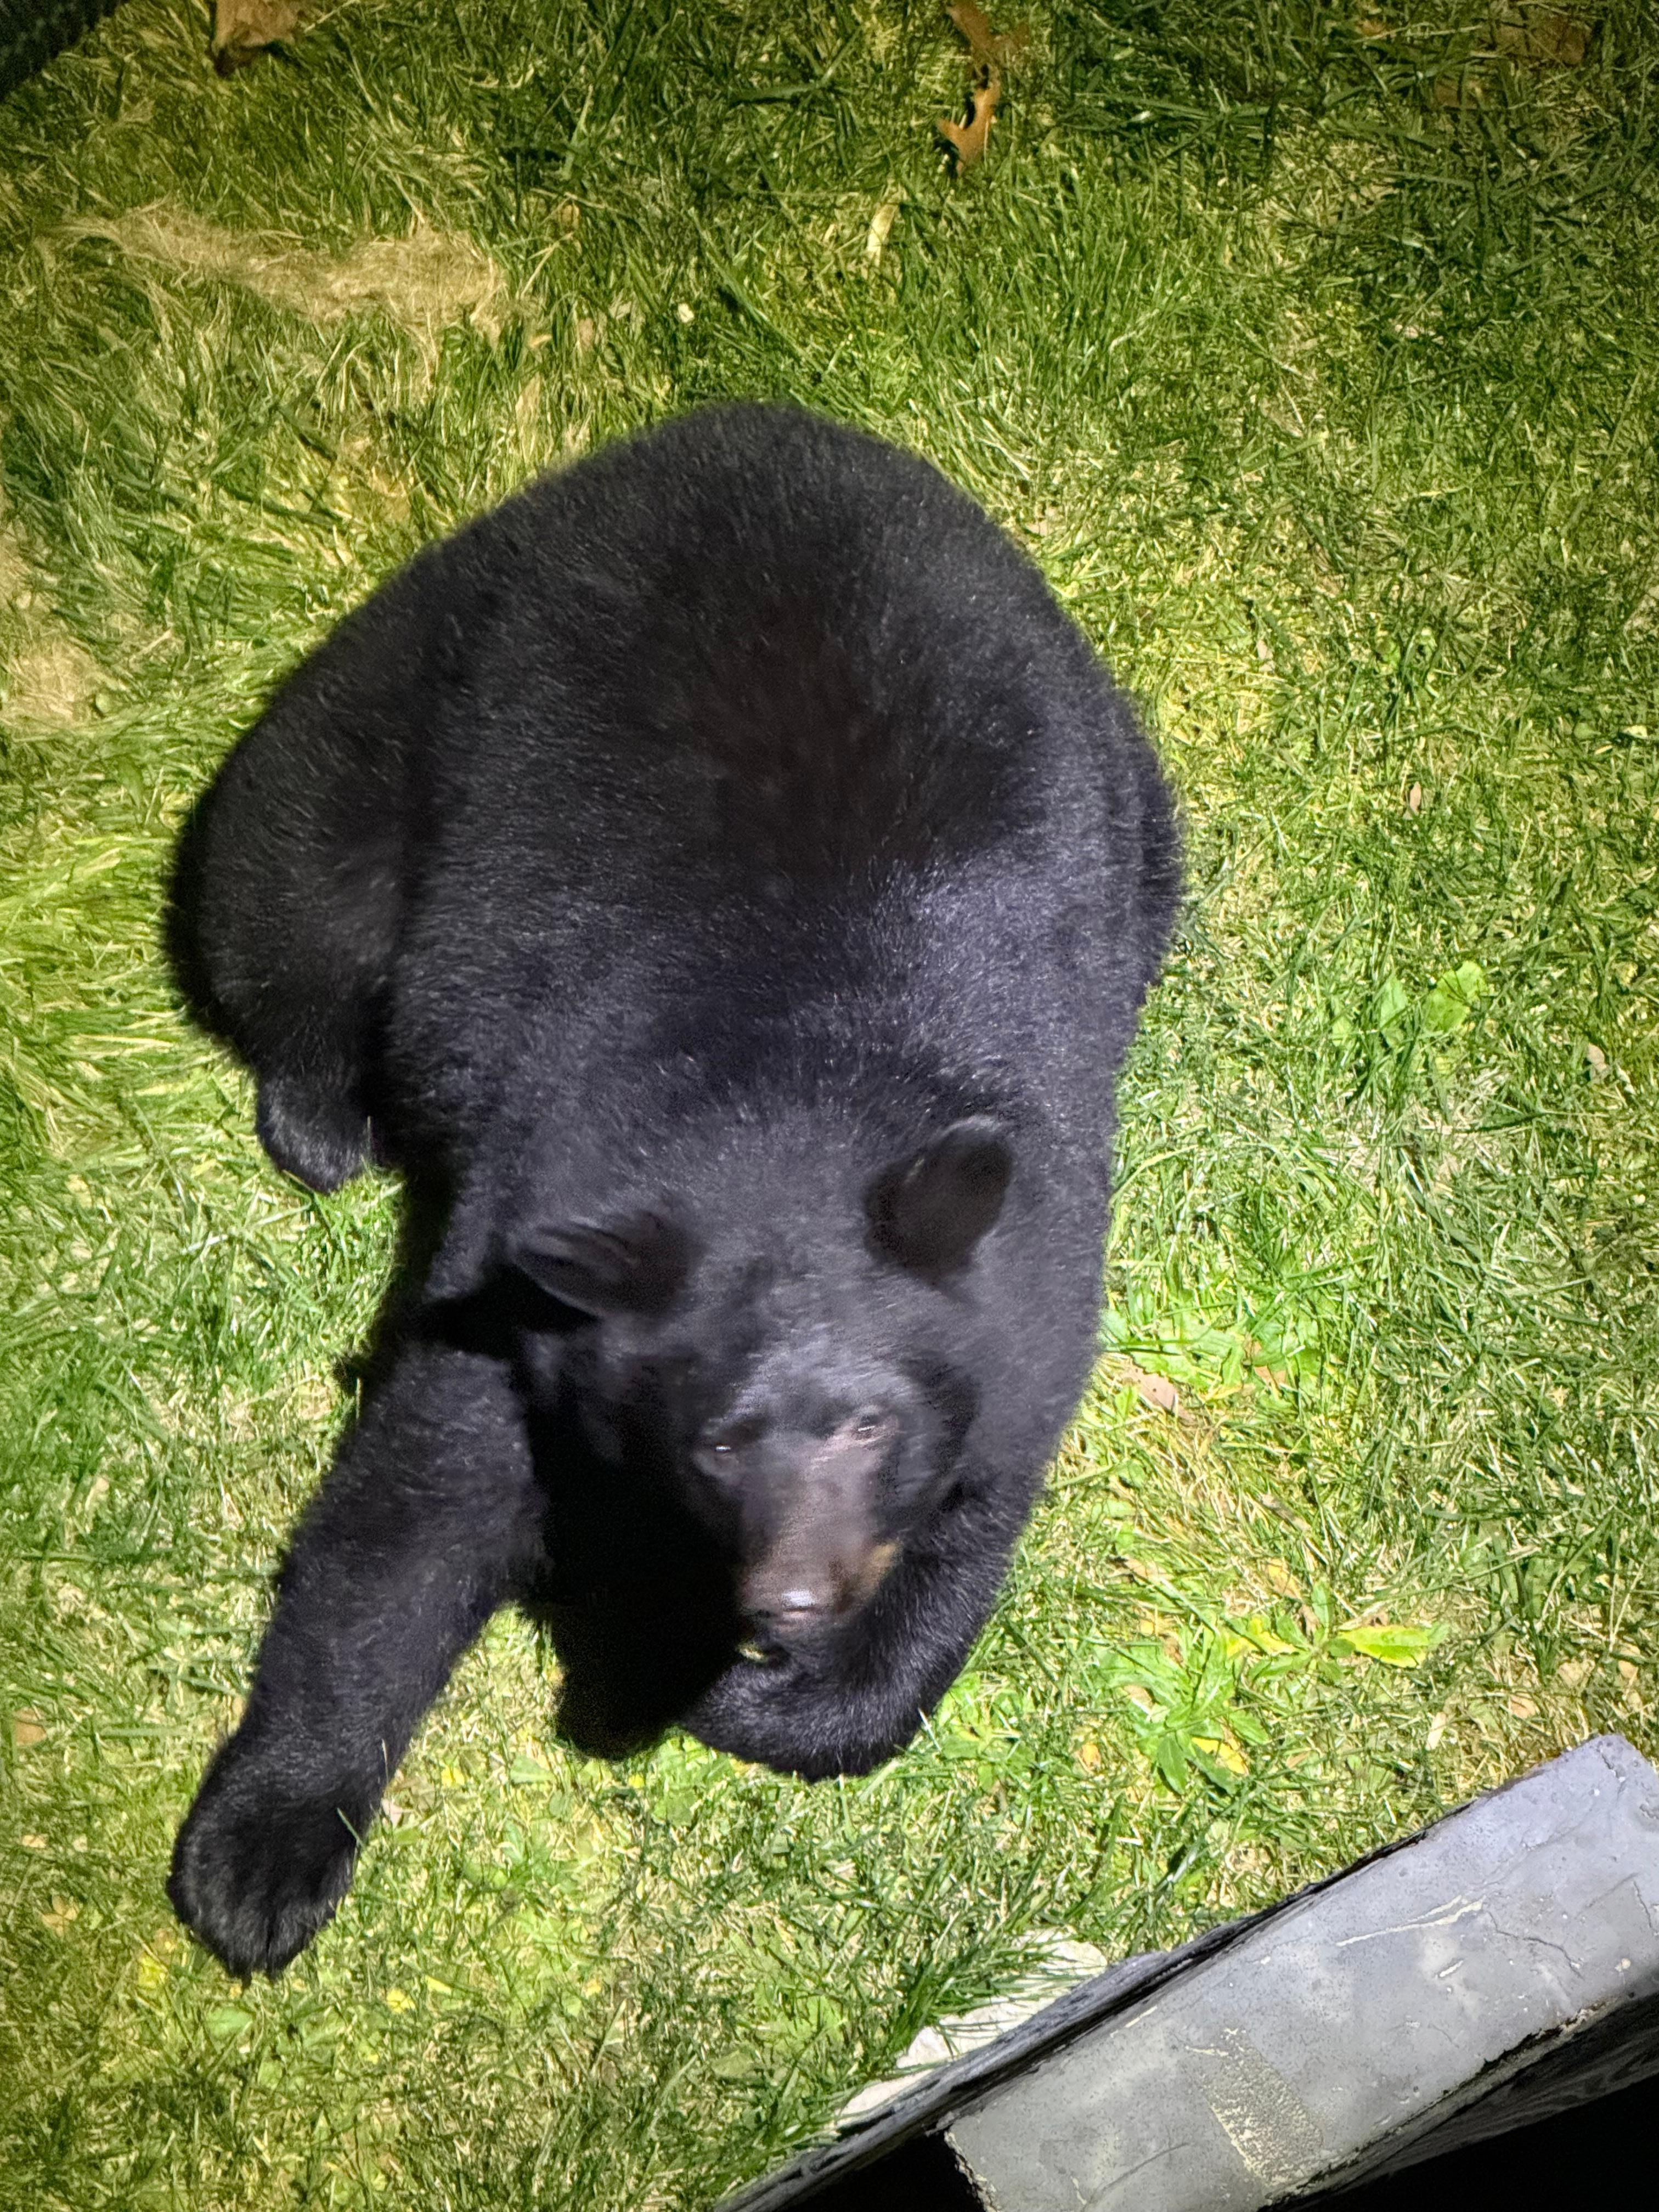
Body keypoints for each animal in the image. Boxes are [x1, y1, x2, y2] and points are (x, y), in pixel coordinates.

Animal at [165, 403, 1180, 1977]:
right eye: (714, 1440)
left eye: (873, 1423)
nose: (789, 1600)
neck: (795, 1096)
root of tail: (744, 423)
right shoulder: (527, 1252)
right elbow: (414, 1512)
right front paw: (265, 1852)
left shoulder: (1031, 1290)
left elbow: (971, 1529)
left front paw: (766, 1695)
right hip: (396, 689)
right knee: (287, 896)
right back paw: (323, 1114)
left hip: (1131, 795)